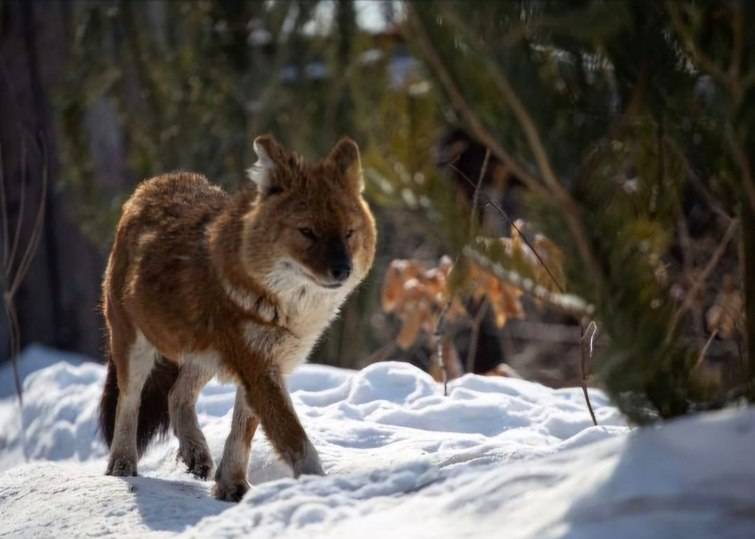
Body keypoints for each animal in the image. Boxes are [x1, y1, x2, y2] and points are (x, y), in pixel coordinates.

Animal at [99, 136, 378, 502]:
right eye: (307, 231)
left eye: (348, 232)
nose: (342, 270)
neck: (285, 307)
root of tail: (153, 184)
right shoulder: (258, 367)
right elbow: (294, 439)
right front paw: (319, 486)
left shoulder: (264, 365)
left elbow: (242, 432)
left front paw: (231, 485)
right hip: (134, 345)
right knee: (128, 402)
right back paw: (121, 465)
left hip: (202, 354)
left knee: (177, 395)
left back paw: (196, 453)